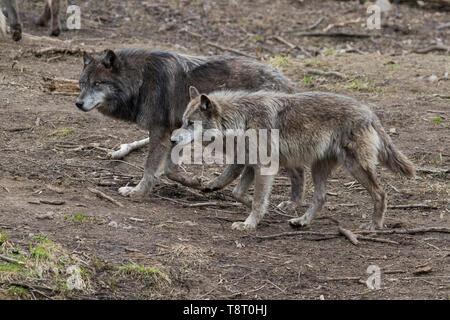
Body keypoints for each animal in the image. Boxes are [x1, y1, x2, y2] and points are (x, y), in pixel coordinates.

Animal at [75, 49, 306, 205]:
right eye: (82, 83)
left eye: (97, 83)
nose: (78, 103)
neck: (140, 81)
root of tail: (289, 84)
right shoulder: (174, 133)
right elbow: (169, 169)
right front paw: (194, 181)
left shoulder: (159, 131)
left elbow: (150, 168)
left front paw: (137, 192)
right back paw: (216, 185)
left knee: (295, 169)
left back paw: (291, 204)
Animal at [179, 87, 414, 231]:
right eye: (183, 121)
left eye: (190, 123)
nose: (173, 139)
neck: (241, 120)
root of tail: (370, 112)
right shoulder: (252, 164)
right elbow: (238, 192)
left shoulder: (264, 166)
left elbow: (257, 200)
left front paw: (249, 224)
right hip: (317, 168)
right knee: (320, 197)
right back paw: (302, 221)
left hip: (356, 167)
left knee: (380, 193)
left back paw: (374, 226)